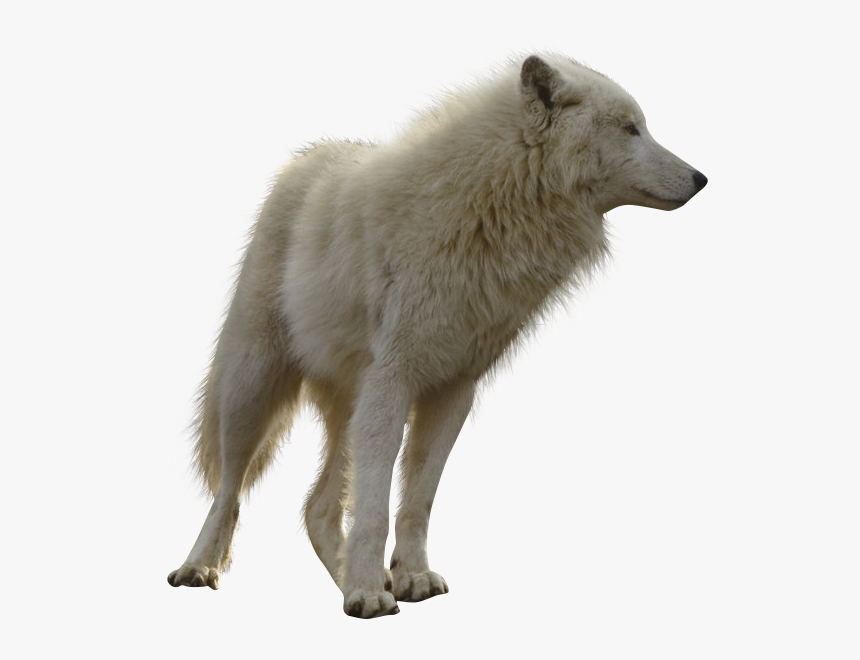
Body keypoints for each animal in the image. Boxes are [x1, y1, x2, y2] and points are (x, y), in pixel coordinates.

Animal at [167, 54, 707, 618]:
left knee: (316, 507)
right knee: (229, 490)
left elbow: (417, 499)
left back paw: (349, 579)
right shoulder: (394, 381)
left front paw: (407, 578)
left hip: (348, 408)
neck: (491, 205)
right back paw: (199, 568)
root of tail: (308, 157)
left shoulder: (453, 389)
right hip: (252, 388)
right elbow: (375, 506)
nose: (702, 178)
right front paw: (368, 592)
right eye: (631, 128)